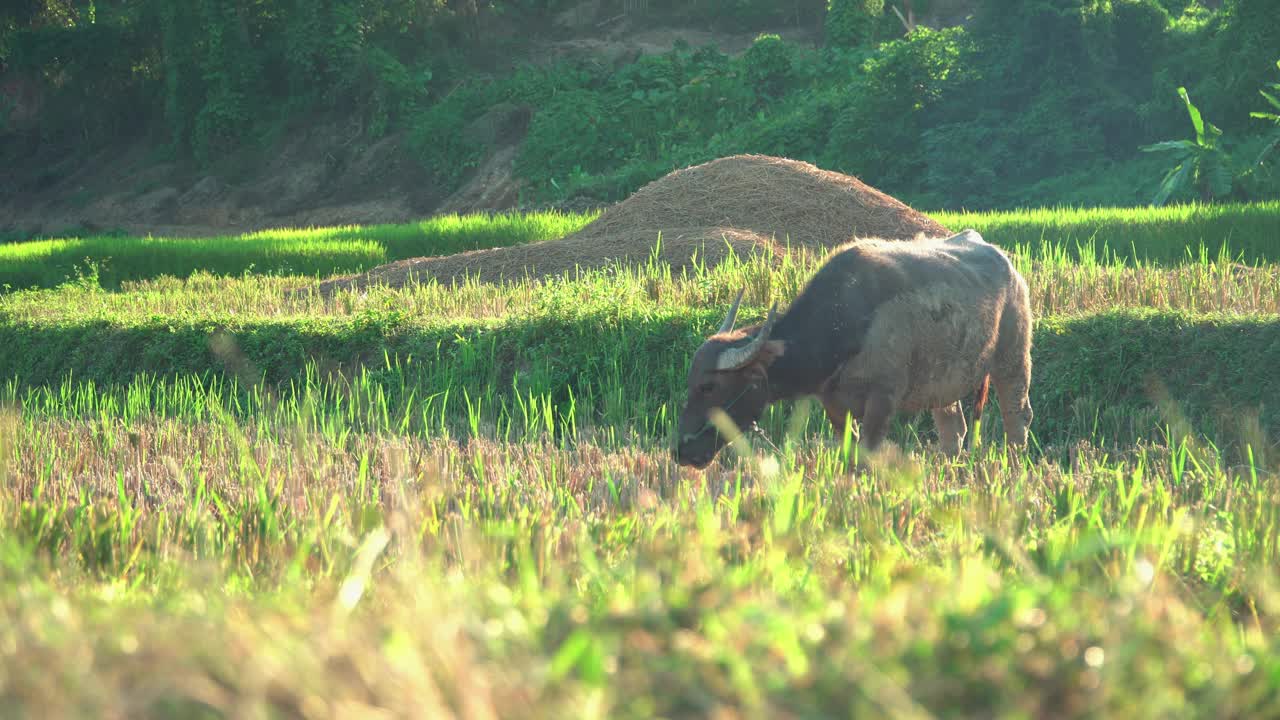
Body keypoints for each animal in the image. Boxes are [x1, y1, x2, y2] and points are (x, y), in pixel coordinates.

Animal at [675, 226, 1034, 468]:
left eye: (709, 386)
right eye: (690, 384)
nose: (681, 452)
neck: (844, 323)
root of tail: (1009, 267)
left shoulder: (882, 402)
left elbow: (865, 460)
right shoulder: (835, 407)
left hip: (1013, 359)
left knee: (1017, 417)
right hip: (943, 382)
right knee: (953, 431)